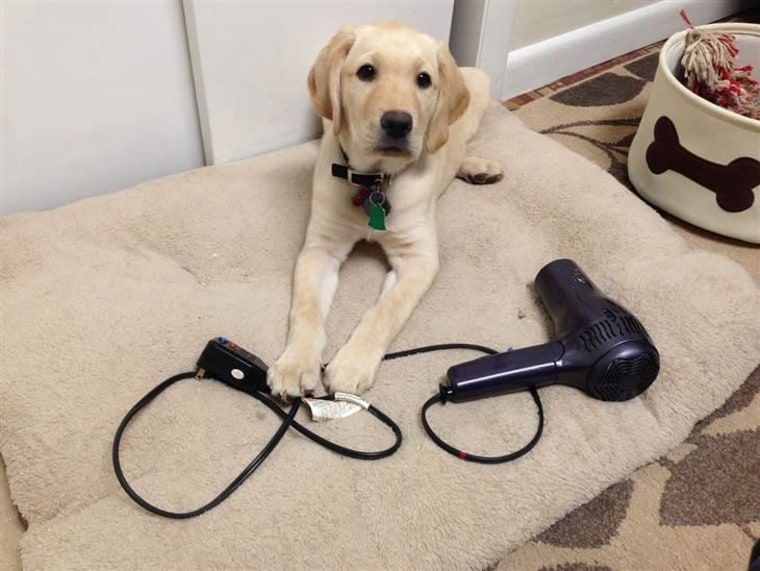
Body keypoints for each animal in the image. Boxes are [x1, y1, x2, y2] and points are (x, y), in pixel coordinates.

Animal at [270, 22, 502, 398]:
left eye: (423, 79)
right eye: (367, 71)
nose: (397, 123)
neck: (375, 181)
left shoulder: (419, 258)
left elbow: (385, 313)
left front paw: (352, 364)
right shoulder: (319, 248)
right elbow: (305, 310)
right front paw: (295, 362)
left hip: (479, 86)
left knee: (456, 141)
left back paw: (478, 166)